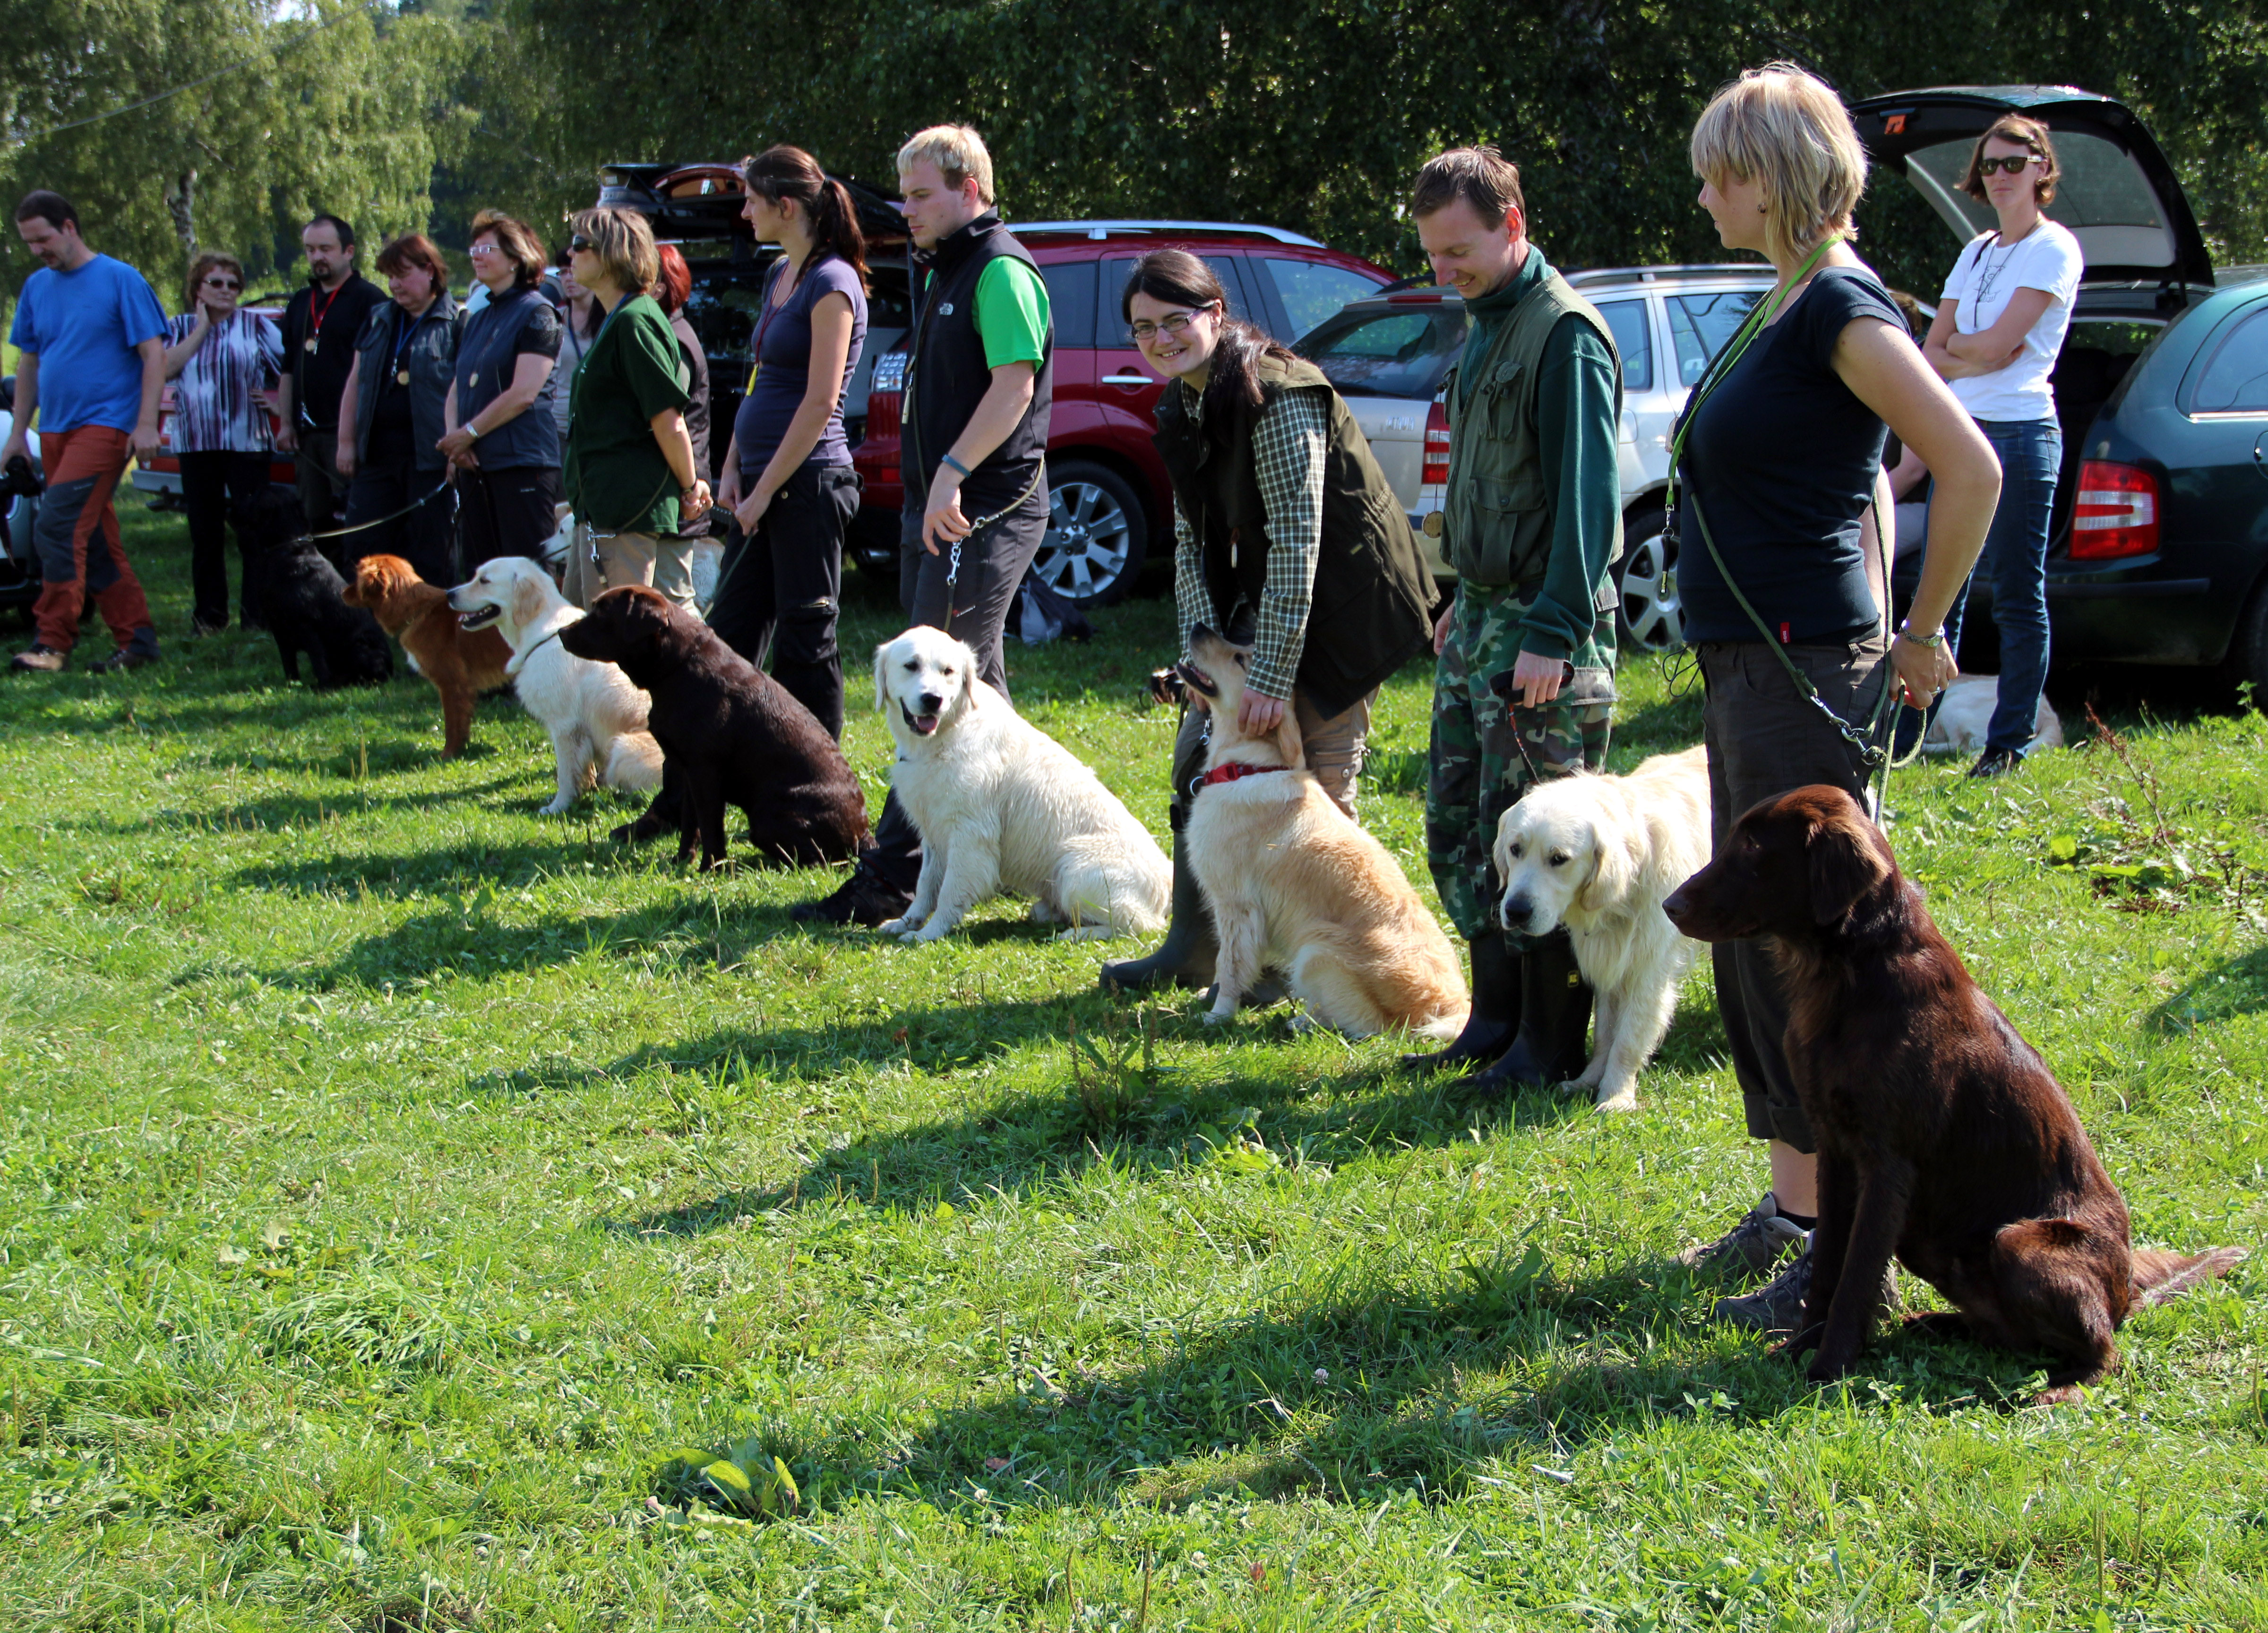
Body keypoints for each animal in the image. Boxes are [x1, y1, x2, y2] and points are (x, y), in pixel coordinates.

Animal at [240, 485, 395, 689]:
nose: (236, 504)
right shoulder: (279, 628)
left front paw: (323, 689)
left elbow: (318, 661)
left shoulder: (308, 625)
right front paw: (291, 686)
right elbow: (289, 663)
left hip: (361, 647)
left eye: (254, 495)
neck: (287, 548)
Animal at [1179, 626, 1460, 1034]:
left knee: (1370, 1027)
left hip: (1317, 950)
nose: (1199, 626)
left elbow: (1229, 966)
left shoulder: (1235, 903)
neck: (1249, 766)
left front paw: (1218, 1015)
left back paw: (1304, 1022)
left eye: (1241, 659)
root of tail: (1453, 1008)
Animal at [1497, 748, 1705, 1111]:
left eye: (1559, 858)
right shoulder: (1610, 960)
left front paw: (1616, 1096)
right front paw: (1588, 1080)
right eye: (1515, 849)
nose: (1516, 912)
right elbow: (1605, 1033)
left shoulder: (1649, 970)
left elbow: (1628, 1038)